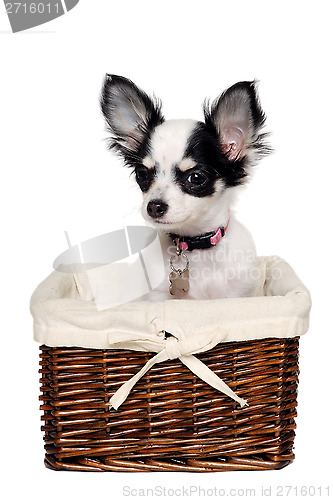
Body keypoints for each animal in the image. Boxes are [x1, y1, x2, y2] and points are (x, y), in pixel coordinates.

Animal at [100, 74, 268, 300]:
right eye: (142, 174)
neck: (195, 246)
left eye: (196, 178)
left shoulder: (238, 295)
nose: (154, 207)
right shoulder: (158, 297)